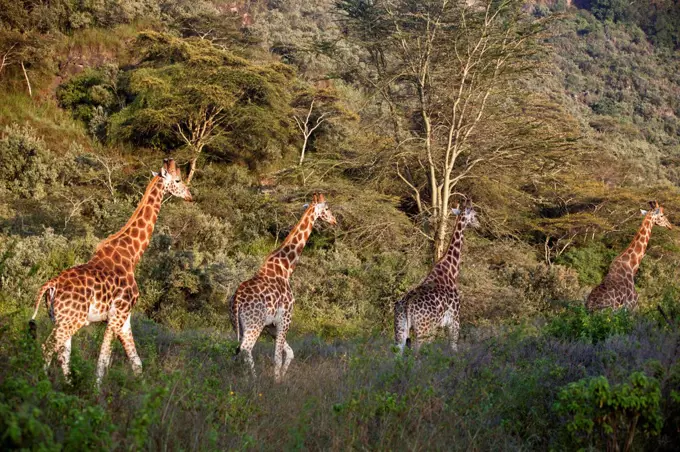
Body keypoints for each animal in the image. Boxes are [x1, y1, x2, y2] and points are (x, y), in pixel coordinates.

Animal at [29, 158, 191, 384]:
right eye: (177, 180)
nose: (190, 196)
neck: (132, 255)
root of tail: (51, 285)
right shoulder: (118, 314)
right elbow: (103, 360)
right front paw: (97, 390)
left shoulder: (125, 318)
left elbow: (136, 363)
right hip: (72, 320)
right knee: (48, 348)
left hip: (60, 318)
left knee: (63, 354)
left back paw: (67, 385)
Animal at [231, 194, 338, 382]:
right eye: (326, 208)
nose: (334, 220)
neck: (287, 267)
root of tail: (237, 299)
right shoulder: (285, 318)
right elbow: (278, 357)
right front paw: (276, 382)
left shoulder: (271, 325)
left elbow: (290, 353)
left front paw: (280, 378)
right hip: (254, 324)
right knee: (245, 349)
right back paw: (254, 380)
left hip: (239, 324)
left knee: (236, 351)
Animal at [394, 200, 478, 354]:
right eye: (474, 214)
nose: (478, 223)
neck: (451, 271)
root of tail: (407, 304)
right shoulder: (454, 320)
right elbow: (454, 348)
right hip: (423, 329)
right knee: (417, 353)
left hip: (400, 328)